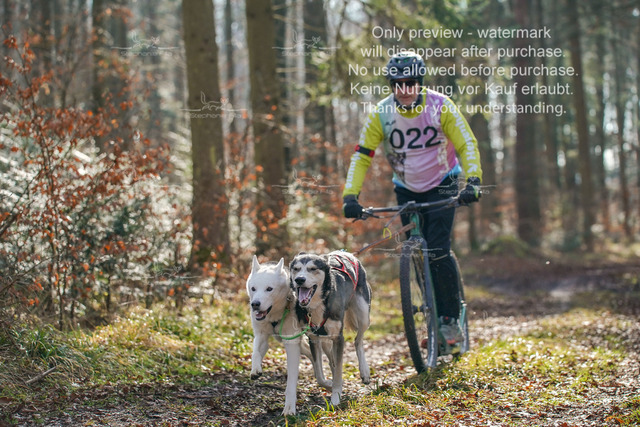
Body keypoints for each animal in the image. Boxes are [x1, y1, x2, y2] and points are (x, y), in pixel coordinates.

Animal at [246, 256, 331, 415]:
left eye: (269, 289)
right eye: (253, 288)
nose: (255, 304)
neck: (275, 315)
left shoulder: (291, 345)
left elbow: (291, 380)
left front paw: (289, 407)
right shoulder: (261, 336)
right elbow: (255, 353)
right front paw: (255, 370)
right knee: (311, 355)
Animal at [289, 250, 372, 410]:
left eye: (313, 269)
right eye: (295, 269)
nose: (299, 280)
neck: (318, 304)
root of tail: (348, 253)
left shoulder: (338, 338)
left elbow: (339, 370)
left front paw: (335, 397)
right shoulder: (313, 339)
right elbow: (320, 375)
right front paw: (329, 385)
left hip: (364, 315)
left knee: (358, 341)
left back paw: (364, 371)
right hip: (326, 341)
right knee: (331, 358)